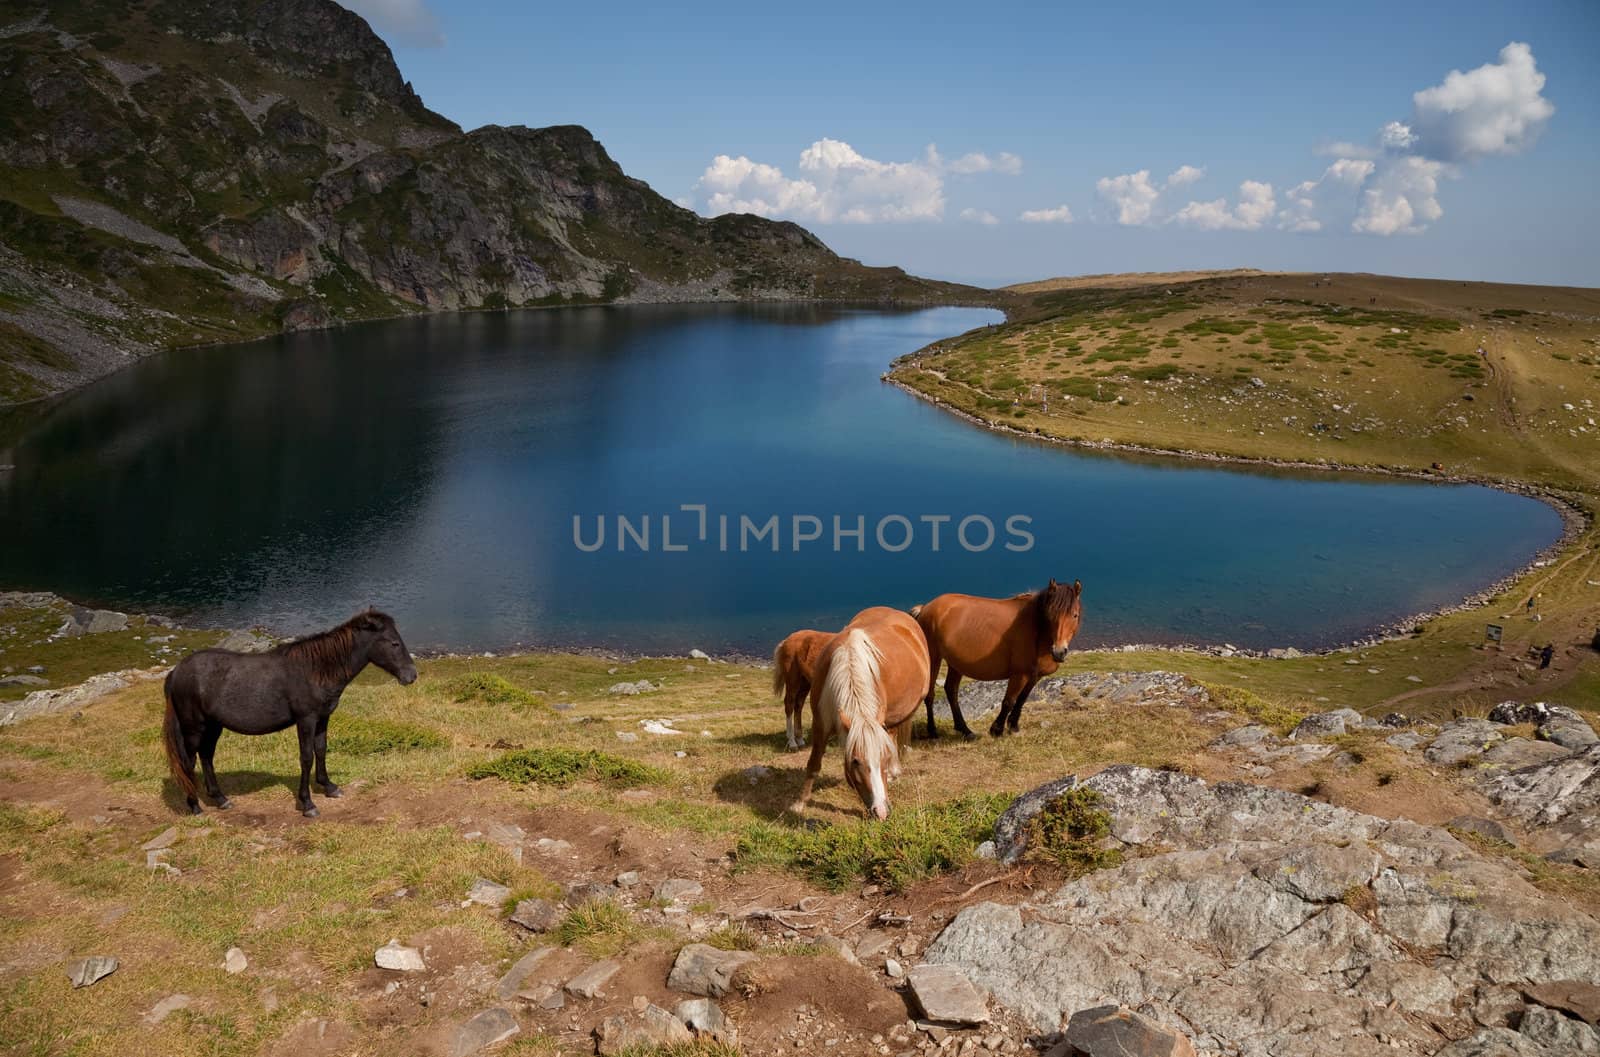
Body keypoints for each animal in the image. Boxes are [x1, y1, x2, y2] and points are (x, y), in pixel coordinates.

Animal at [164, 610, 419, 815]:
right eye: (394, 643)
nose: (411, 675)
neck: (316, 669)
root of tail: (176, 672)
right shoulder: (306, 720)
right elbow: (306, 757)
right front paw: (307, 803)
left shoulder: (323, 718)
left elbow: (321, 750)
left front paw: (329, 787)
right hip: (194, 728)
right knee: (189, 762)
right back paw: (194, 805)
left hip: (213, 725)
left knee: (207, 756)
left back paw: (220, 799)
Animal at [787, 604, 928, 818]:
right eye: (855, 761)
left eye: (884, 758)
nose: (881, 812)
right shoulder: (820, 722)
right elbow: (813, 763)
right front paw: (799, 803)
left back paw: (894, 772)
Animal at [921, 575, 1081, 732]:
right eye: (1050, 615)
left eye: (1075, 615)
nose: (1059, 652)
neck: (1037, 630)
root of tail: (926, 608)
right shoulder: (1019, 674)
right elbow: (1009, 701)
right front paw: (997, 729)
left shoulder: (1035, 676)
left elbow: (1022, 699)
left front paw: (1013, 725)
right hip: (933, 658)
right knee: (930, 694)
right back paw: (932, 730)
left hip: (956, 663)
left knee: (951, 690)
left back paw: (964, 729)